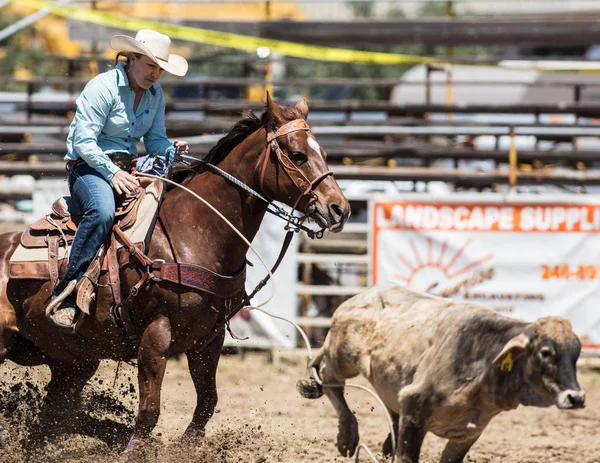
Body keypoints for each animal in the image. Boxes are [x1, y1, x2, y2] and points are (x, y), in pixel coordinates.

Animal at [0, 95, 350, 454]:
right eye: (297, 154)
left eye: (323, 152)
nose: (340, 209)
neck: (194, 230)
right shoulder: (155, 337)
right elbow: (149, 412)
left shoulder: (207, 340)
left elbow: (207, 402)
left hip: (72, 362)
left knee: (53, 417)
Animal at [298, 282, 584, 463]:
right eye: (546, 352)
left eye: (576, 354)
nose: (576, 398)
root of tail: (359, 297)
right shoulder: (415, 410)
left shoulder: (469, 432)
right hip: (342, 357)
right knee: (329, 380)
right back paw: (347, 436)